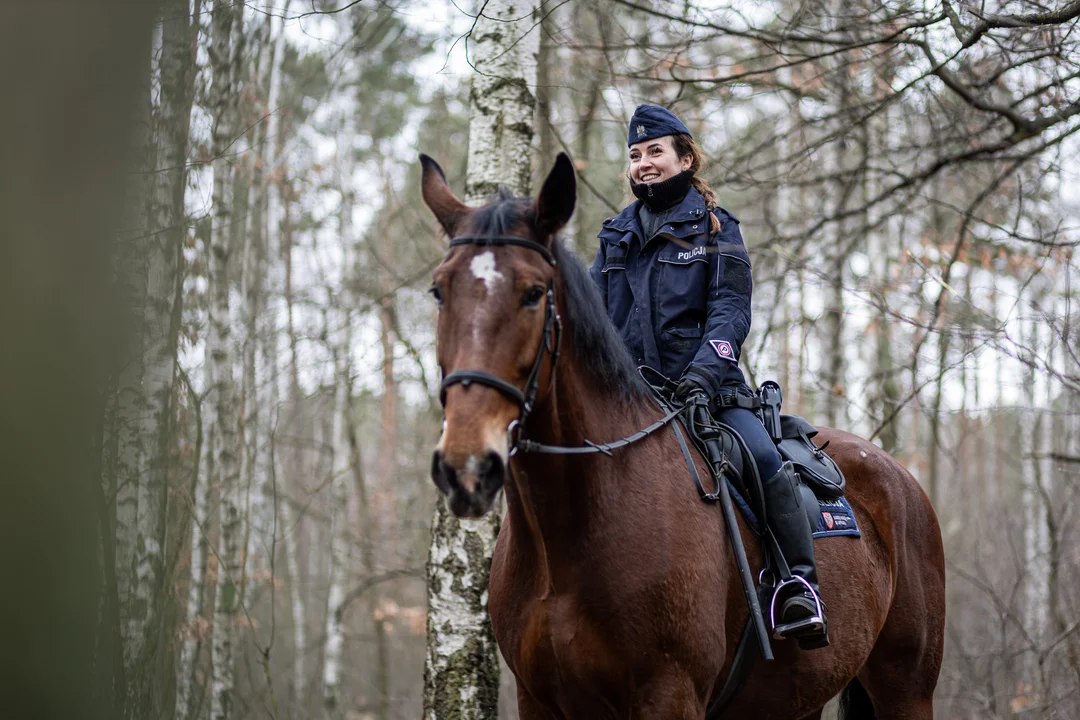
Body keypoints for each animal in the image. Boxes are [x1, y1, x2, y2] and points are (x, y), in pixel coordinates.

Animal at [416, 153, 941, 720]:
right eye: (439, 290)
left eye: (534, 294)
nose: (466, 466)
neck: (569, 539)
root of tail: (901, 478)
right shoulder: (538, 701)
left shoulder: (669, 693)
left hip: (906, 690)